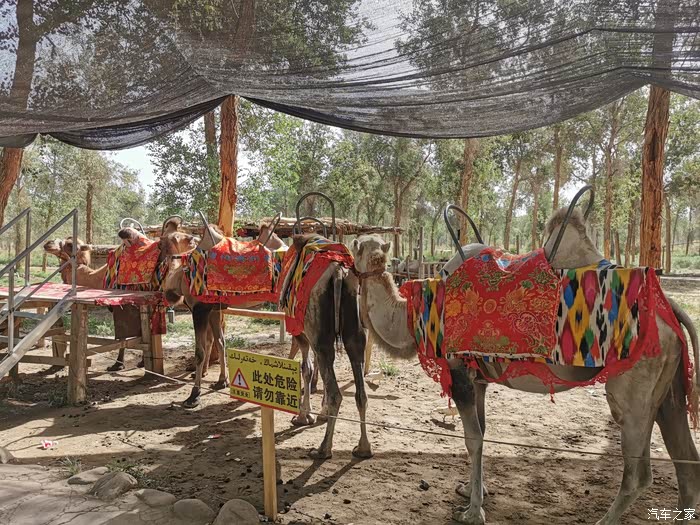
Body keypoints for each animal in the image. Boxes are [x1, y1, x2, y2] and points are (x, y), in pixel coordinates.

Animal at [161, 220, 287, 408]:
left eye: (162, 241)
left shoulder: (199, 309)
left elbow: (200, 351)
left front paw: (194, 395)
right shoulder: (214, 309)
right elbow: (220, 342)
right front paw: (222, 381)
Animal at [281, 234, 370, 460]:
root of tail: (339, 273)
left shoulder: (301, 333)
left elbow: (306, 369)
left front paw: (304, 416)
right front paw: (319, 413)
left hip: (318, 333)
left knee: (335, 393)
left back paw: (323, 449)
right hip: (355, 332)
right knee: (360, 392)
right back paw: (363, 448)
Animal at [352, 207, 700, 525]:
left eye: (355, 246)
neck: (418, 312)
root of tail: (669, 307)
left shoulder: (458, 371)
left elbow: (473, 439)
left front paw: (473, 511)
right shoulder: (479, 379)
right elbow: (482, 433)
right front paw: (473, 490)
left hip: (634, 387)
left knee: (639, 471)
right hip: (668, 389)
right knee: (687, 463)